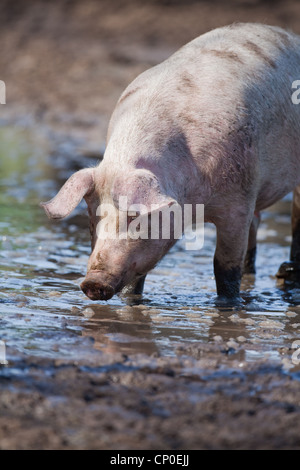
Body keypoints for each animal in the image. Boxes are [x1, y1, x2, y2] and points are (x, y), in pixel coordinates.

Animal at [40, 22, 300, 300]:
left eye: (134, 218)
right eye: (93, 217)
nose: (92, 282)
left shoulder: (239, 202)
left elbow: (225, 269)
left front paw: (229, 303)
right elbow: (137, 277)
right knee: (256, 230)